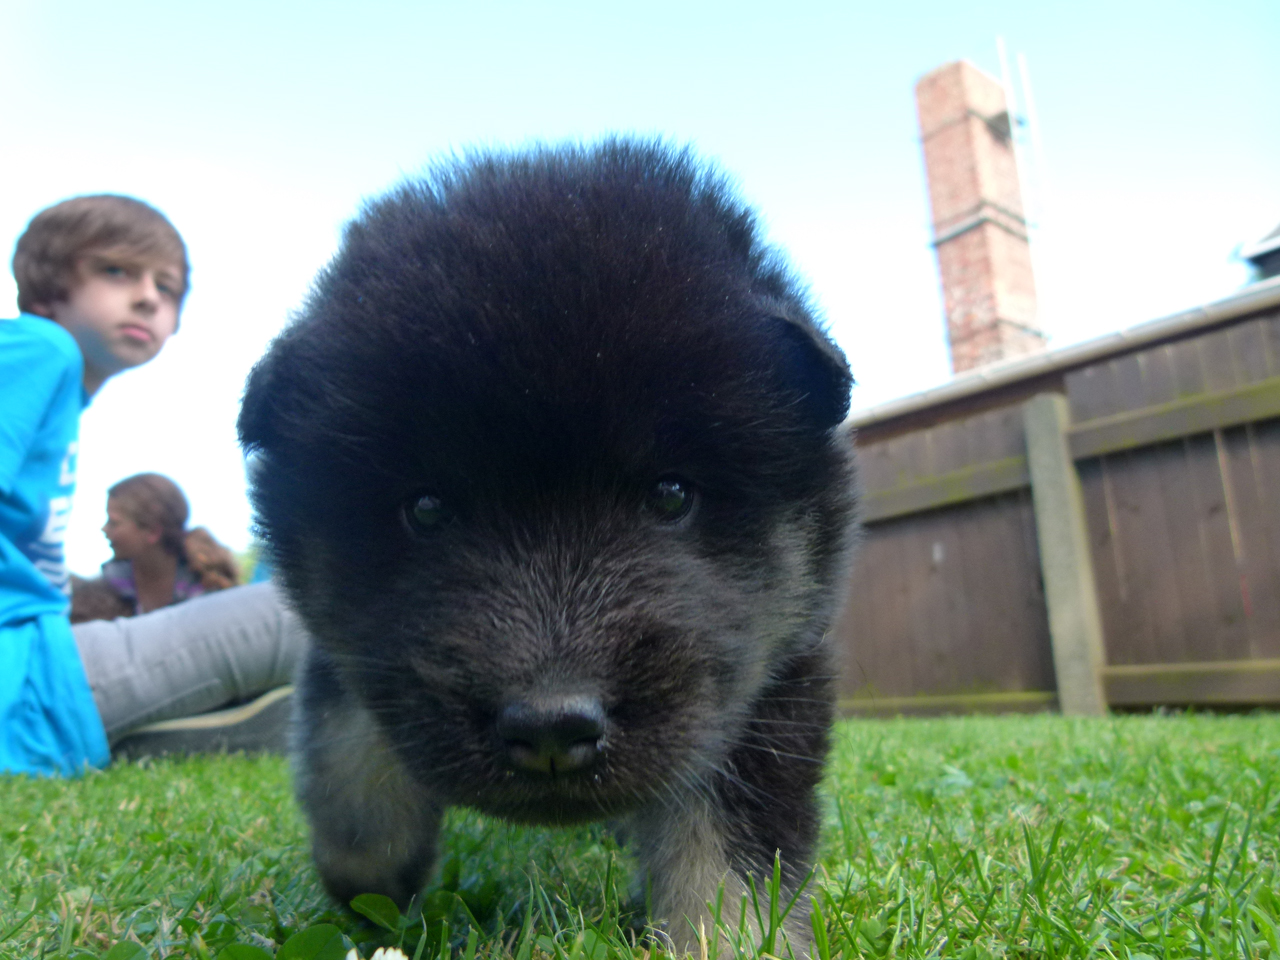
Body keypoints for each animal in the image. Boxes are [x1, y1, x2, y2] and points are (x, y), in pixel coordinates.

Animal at [238, 140, 858, 951]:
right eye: (426, 508)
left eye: (672, 494)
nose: (552, 727)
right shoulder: (346, 646)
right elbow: (347, 748)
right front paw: (368, 879)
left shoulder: (773, 672)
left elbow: (729, 851)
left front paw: (726, 941)